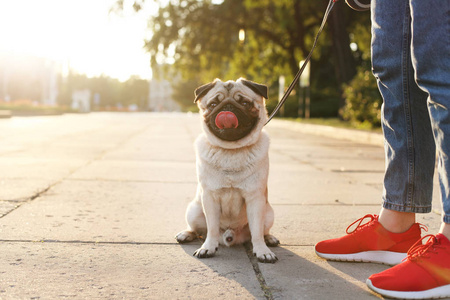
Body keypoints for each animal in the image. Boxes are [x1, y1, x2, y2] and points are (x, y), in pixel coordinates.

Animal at [175, 77, 278, 262]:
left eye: (244, 103)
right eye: (213, 104)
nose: (227, 107)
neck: (231, 151)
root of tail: (231, 236)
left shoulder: (255, 199)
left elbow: (257, 231)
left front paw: (262, 250)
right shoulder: (210, 197)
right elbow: (212, 228)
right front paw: (208, 248)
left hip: (268, 213)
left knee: (261, 230)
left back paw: (269, 239)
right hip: (194, 210)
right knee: (198, 229)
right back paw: (186, 234)